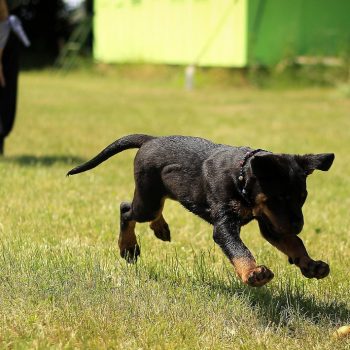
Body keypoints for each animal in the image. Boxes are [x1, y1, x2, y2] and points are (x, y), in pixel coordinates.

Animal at [67, 134, 334, 288]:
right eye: (279, 198)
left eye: (302, 198)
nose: (298, 225)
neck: (240, 177)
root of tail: (150, 139)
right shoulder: (225, 225)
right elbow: (239, 250)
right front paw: (252, 273)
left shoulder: (271, 223)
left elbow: (294, 243)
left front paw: (311, 265)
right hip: (147, 199)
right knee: (126, 209)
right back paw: (128, 247)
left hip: (161, 192)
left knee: (152, 209)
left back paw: (160, 228)